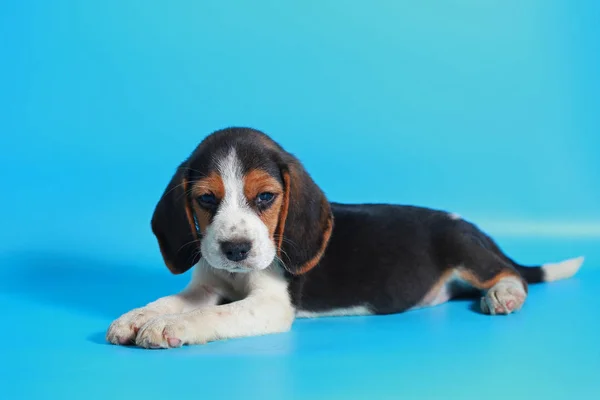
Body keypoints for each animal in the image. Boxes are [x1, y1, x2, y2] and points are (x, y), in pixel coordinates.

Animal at [105, 126, 584, 348]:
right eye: (206, 199)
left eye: (265, 197)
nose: (235, 249)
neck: (239, 276)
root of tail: (472, 226)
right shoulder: (206, 286)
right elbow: (173, 300)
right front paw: (138, 316)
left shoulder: (270, 305)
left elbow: (214, 314)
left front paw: (170, 326)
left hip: (462, 247)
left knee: (509, 273)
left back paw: (504, 295)